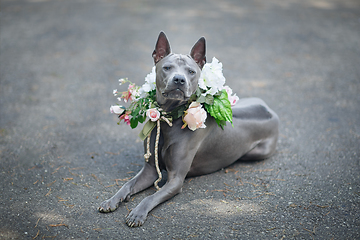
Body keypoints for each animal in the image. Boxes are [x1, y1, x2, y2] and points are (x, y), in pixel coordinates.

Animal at [100, 31, 280, 227]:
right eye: (167, 68)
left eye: (191, 71)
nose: (179, 79)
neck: (169, 119)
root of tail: (268, 109)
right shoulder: (150, 170)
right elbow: (127, 185)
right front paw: (111, 200)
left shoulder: (175, 180)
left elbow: (151, 197)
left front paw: (137, 213)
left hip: (256, 153)